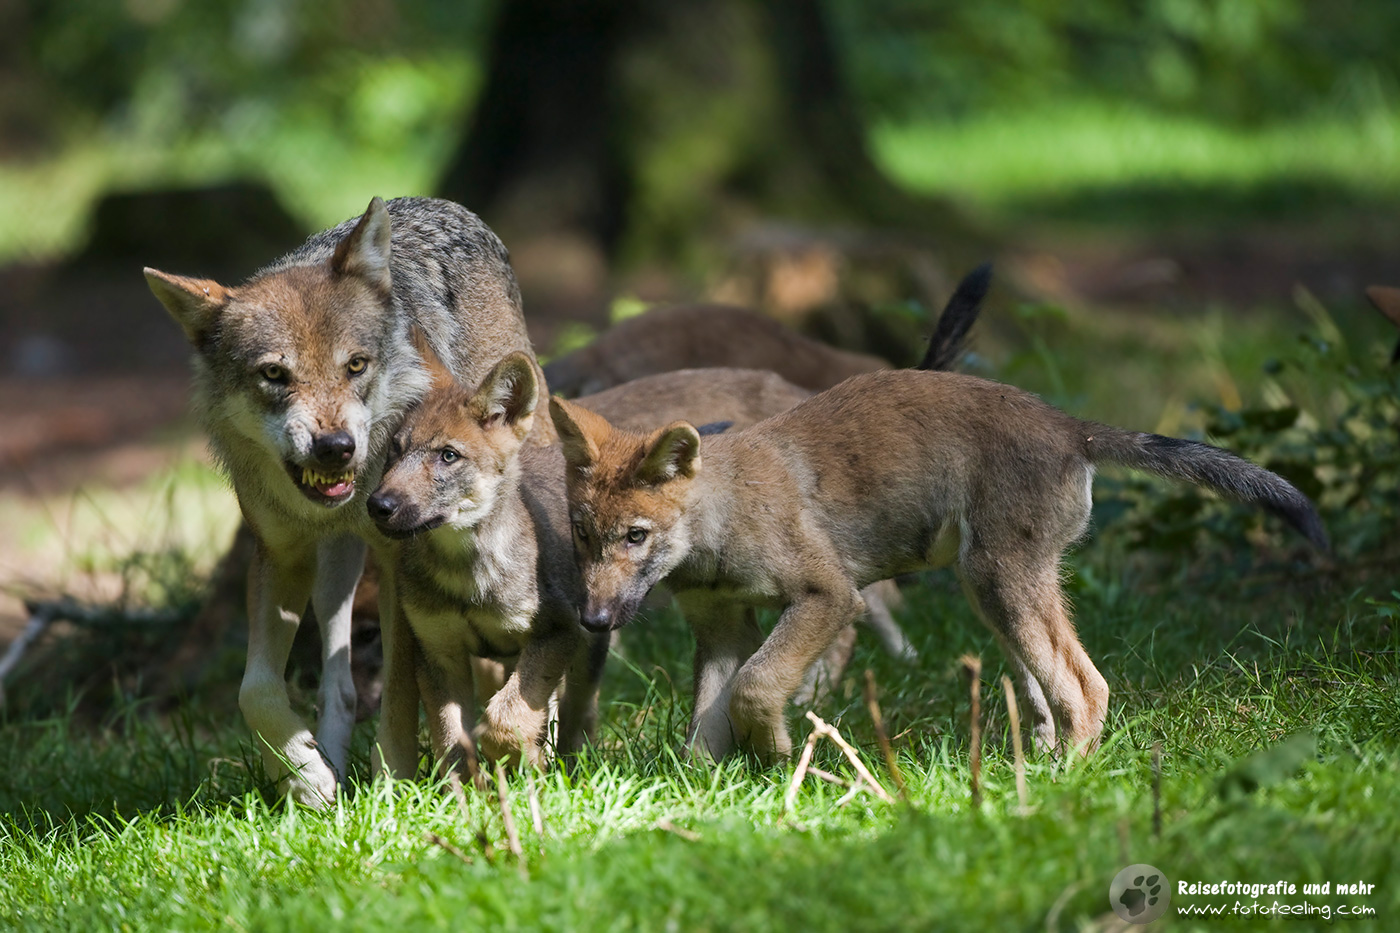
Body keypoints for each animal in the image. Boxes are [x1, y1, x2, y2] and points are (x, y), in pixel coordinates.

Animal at [145, 196, 548, 805]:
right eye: (274, 374)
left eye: (355, 365)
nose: (335, 447)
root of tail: (445, 207)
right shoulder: (279, 556)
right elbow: (255, 690)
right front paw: (304, 775)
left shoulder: (399, 563)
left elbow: (401, 697)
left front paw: (393, 789)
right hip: (333, 572)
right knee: (341, 685)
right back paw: (330, 763)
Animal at [549, 347, 1328, 764]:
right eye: (583, 535)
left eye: (636, 536)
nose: (593, 622)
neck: (719, 523)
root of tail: (1073, 427)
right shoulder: (721, 628)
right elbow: (703, 729)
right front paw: (714, 792)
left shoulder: (829, 595)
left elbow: (757, 687)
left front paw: (775, 755)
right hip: (992, 595)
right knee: (1049, 695)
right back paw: (1031, 764)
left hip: (1000, 584)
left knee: (1089, 687)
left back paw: (1063, 783)